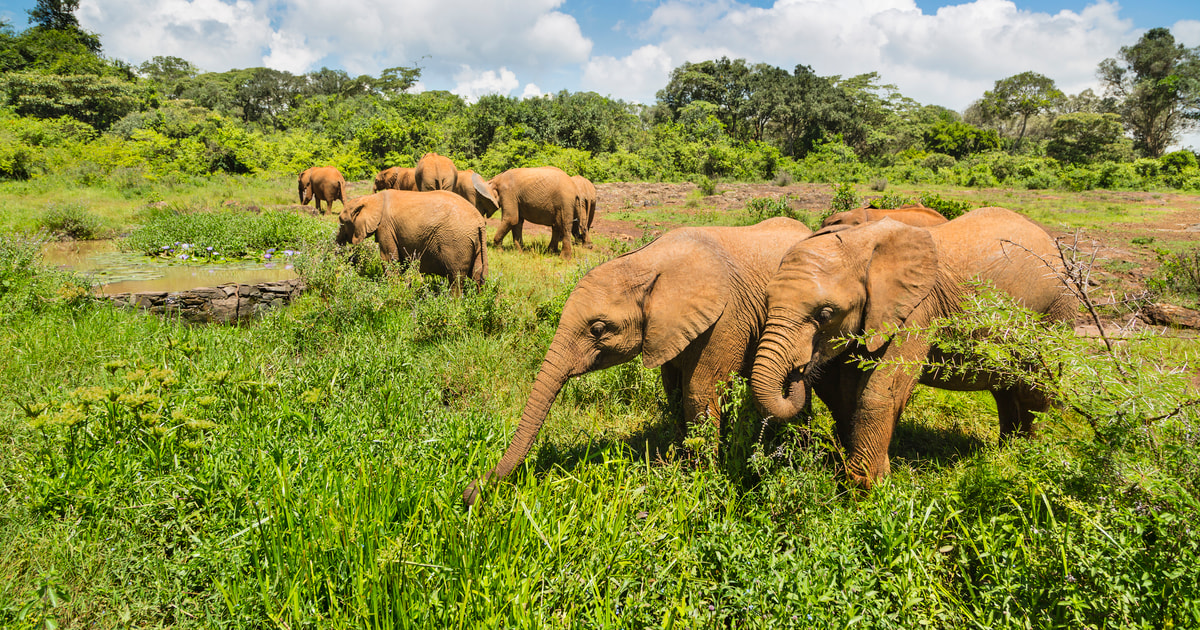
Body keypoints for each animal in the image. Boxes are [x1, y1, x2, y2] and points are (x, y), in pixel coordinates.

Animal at [335, 190, 488, 291]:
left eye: (342, 221)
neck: (372, 198)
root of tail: (479, 221)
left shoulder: (385, 227)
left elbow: (389, 259)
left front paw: (392, 290)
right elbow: (401, 262)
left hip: (456, 242)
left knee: (456, 277)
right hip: (475, 242)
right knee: (477, 276)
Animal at [463, 217, 815, 506]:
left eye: (598, 329)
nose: (470, 494)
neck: (645, 263)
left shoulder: (726, 320)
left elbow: (698, 394)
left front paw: (700, 485)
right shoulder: (668, 331)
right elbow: (674, 391)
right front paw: (678, 465)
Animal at [750, 207, 1077, 490]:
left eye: (825, 314)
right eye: (765, 301)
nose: (799, 370)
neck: (861, 243)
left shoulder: (919, 308)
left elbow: (882, 390)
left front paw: (864, 487)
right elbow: (846, 392)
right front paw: (872, 475)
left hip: (1055, 311)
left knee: (1034, 390)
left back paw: (1026, 459)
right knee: (1006, 389)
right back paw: (1005, 453)